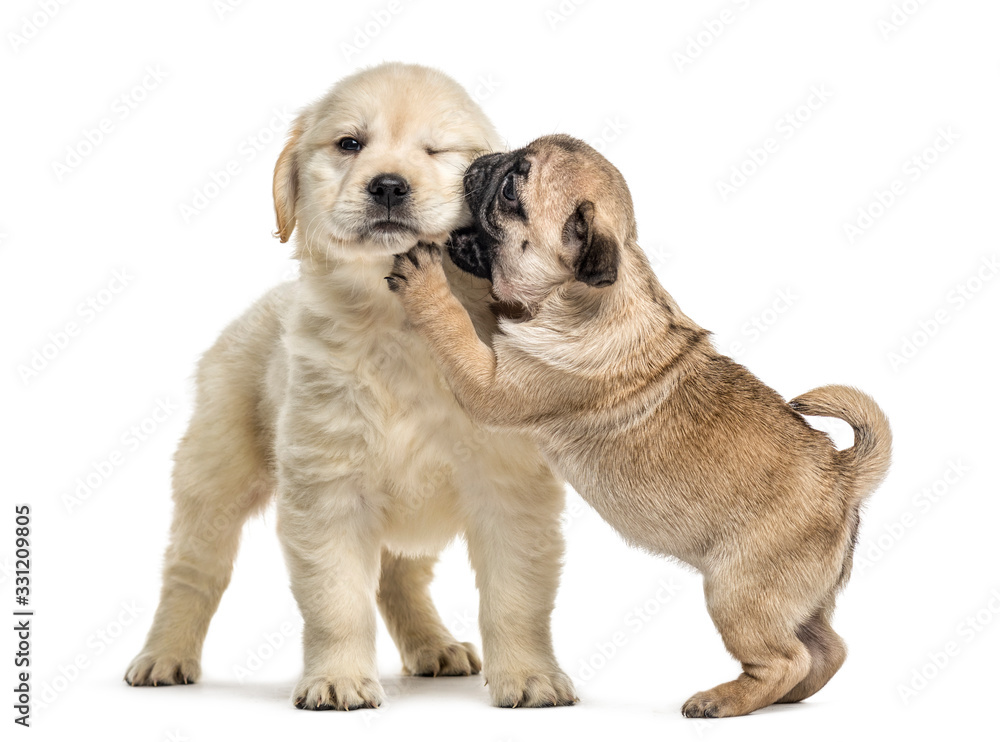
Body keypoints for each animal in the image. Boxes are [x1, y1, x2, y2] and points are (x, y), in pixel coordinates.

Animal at [125, 67, 580, 712]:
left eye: (434, 150)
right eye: (349, 144)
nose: (388, 186)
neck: (400, 326)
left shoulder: (510, 487)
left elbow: (516, 597)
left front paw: (530, 675)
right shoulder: (327, 491)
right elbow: (337, 600)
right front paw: (338, 678)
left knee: (398, 577)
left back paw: (434, 646)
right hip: (214, 476)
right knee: (191, 572)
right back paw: (164, 656)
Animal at [386, 135, 896, 720]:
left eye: (513, 187)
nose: (484, 160)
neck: (582, 295)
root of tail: (842, 473)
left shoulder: (491, 385)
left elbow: (452, 328)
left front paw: (428, 282)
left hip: (739, 594)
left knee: (785, 658)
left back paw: (725, 700)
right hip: (798, 598)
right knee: (827, 649)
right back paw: (786, 698)